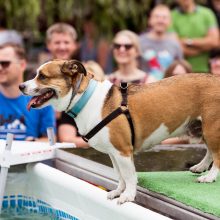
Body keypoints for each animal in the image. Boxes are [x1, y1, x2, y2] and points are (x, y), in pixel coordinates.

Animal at [19, 59, 219, 204]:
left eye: (42, 76)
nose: (21, 86)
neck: (85, 98)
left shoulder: (123, 151)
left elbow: (129, 176)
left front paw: (128, 195)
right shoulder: (114, 153)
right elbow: (120, 175)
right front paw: (118, 191)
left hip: (212, 127)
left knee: (217, 155)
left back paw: (209, 176)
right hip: (204, 128)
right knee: (209, 150)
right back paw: (201, 167)